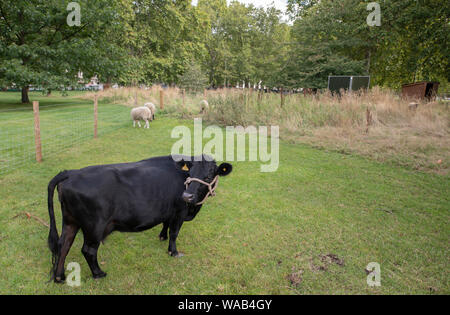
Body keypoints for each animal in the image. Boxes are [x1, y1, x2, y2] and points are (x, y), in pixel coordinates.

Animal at [47, 156, 232, 284]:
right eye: (190, 173)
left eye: (208, 176)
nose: (187, 196)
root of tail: (71, 172)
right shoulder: (180, 211)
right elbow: (174, 233)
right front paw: (173, 252)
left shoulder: (168, 210)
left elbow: (165, 224)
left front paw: (162, 236)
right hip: (94, 227)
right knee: (88, 250)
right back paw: (99, 274)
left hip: (70, 221)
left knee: (63, 245)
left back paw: (59, 277)